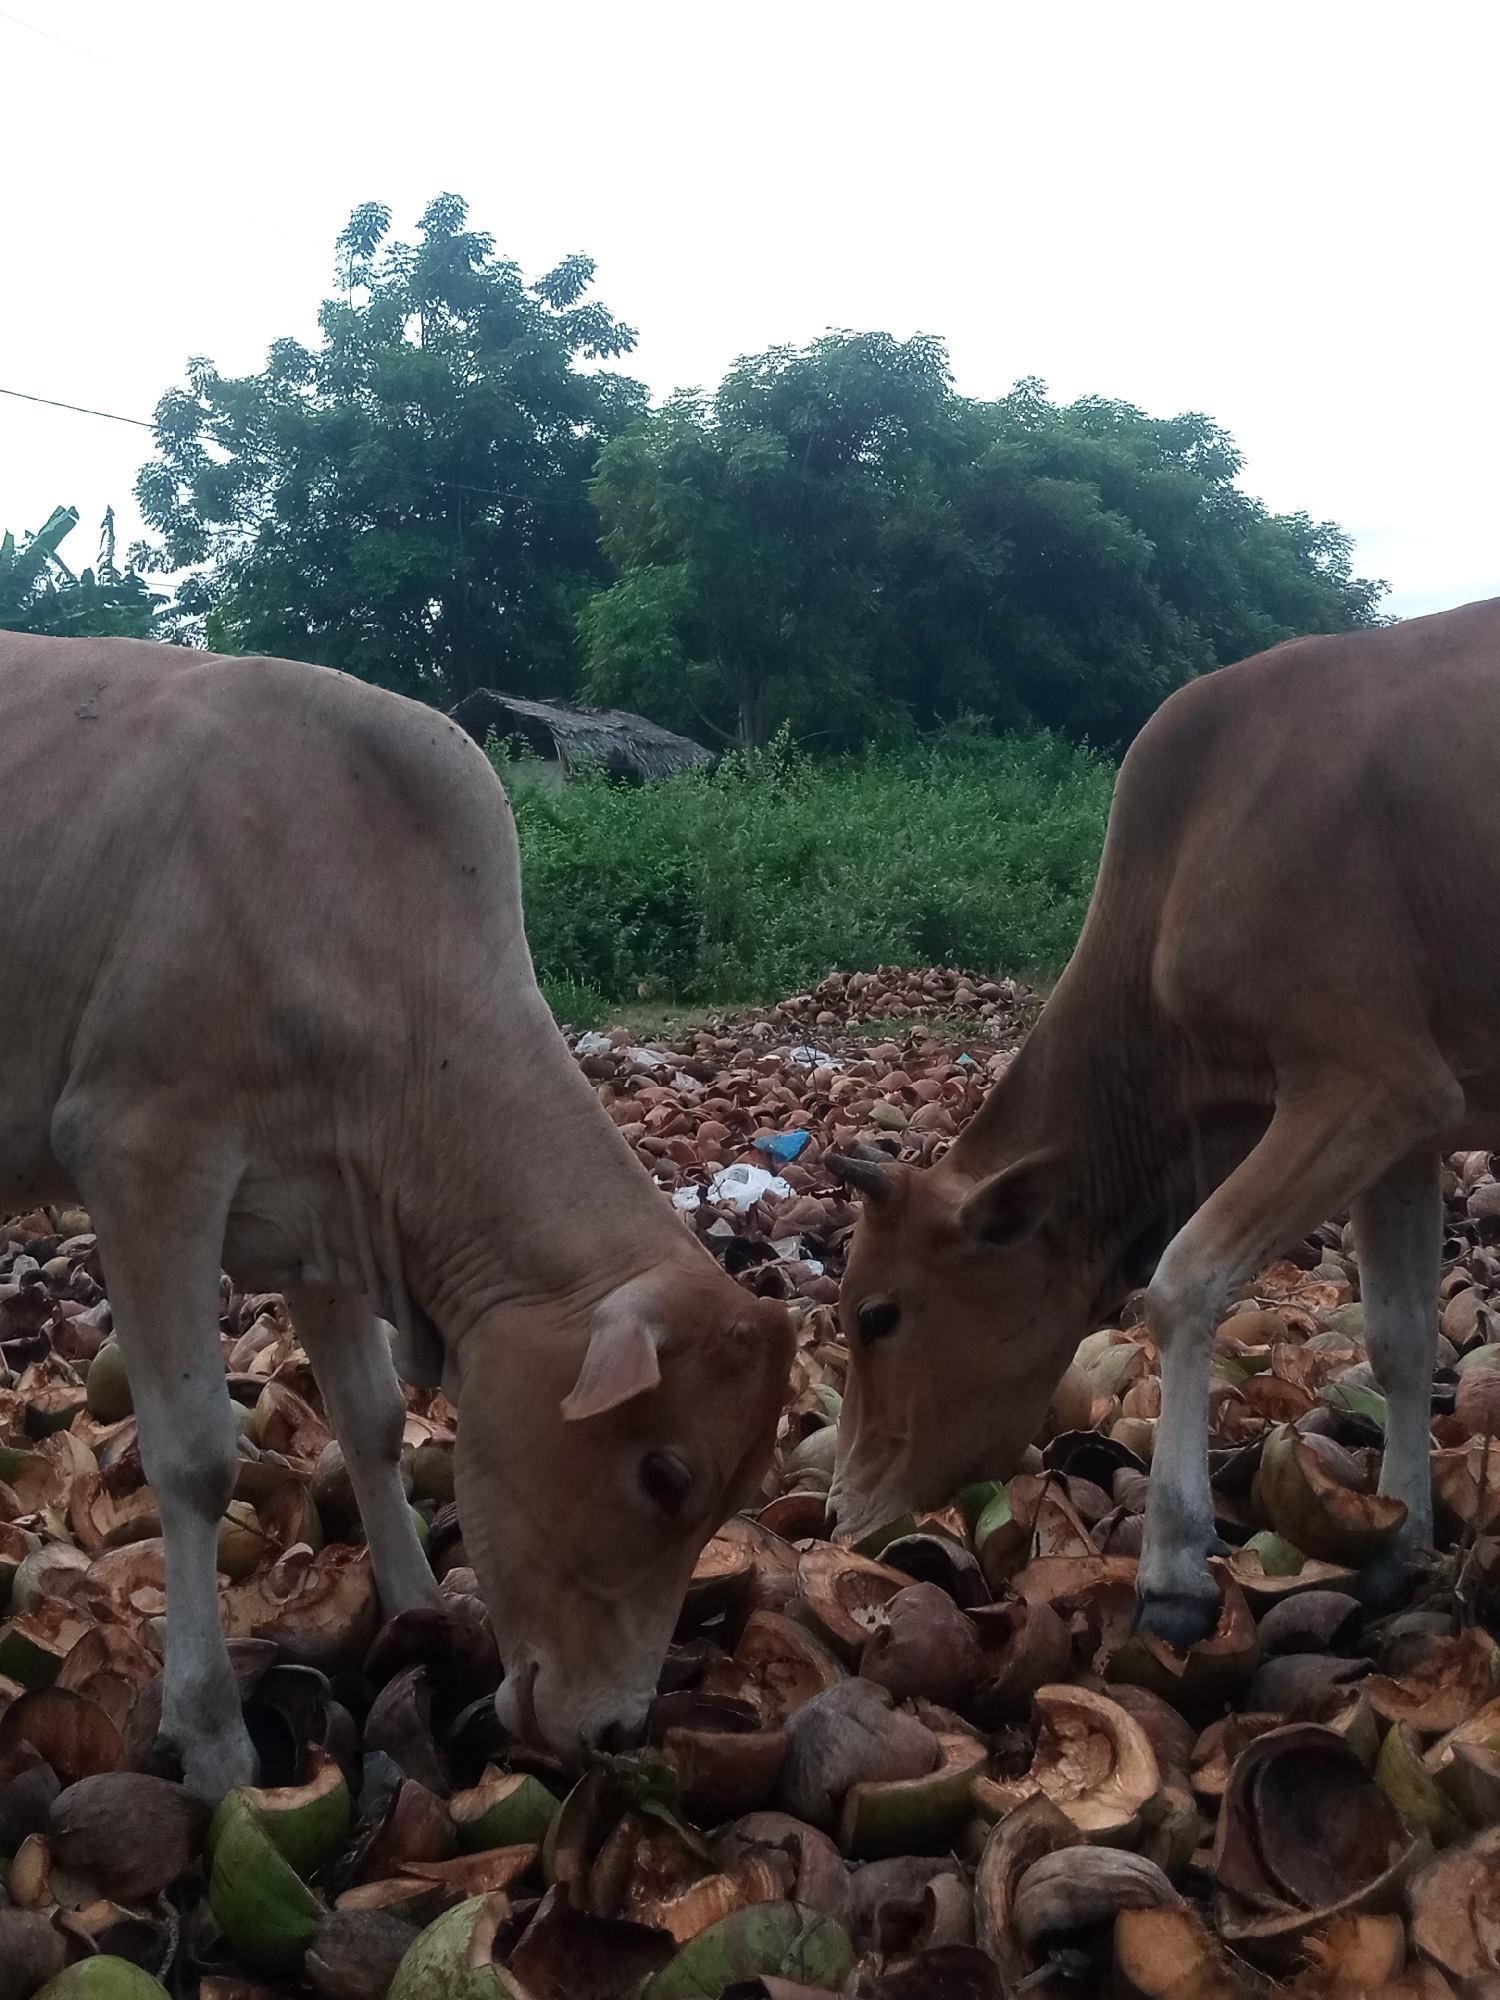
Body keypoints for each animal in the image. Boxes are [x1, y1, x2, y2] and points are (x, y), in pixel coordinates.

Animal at [0, 633, 793, 1799]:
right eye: (664, 1473)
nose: (614, 1731)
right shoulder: (145, 1152)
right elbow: (193, 1458)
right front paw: (213, 1731)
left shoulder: (323, 1210)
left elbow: (371, 1418)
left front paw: (419, 1609)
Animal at [825, 597, 1500, 1646]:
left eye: (877, 1315)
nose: (839, 1504)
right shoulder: (1413, 1132)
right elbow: (1401, 1338)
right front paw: (1400, 1543)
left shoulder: (1373, 1081)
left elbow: (1183, 1283)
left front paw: (1174, 1567)